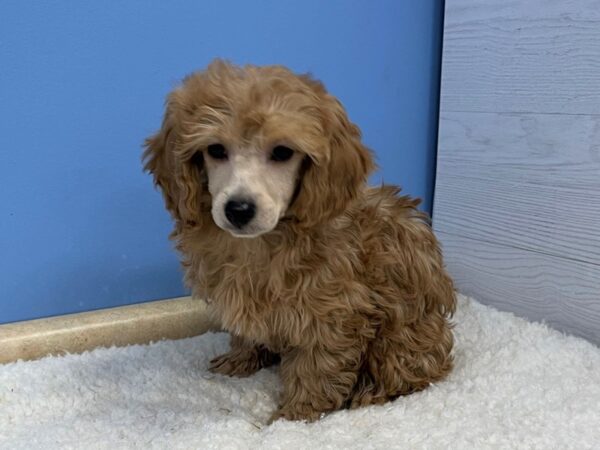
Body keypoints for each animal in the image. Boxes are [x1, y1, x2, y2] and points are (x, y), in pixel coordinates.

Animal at [144, 59, 454, 422]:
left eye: (282, 152)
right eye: (216, 150)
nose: (238, 209)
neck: (264, 241)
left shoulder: (333, 310)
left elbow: (317, 365)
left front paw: (297, 414)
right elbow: (246, 333)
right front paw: (241, 359)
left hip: (405, 332)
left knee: (408, 370)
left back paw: (372, 391)